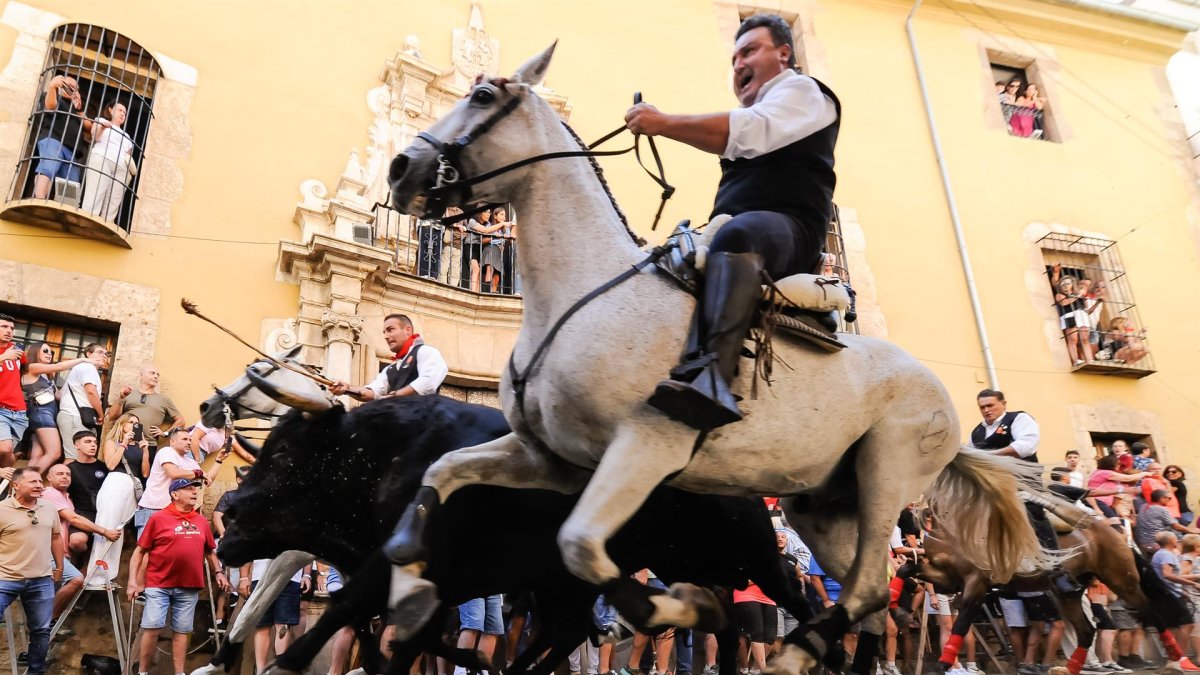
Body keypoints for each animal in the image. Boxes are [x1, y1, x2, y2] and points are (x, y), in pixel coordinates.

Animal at [217, 393, 816, 672]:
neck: (386, 453)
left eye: (285, 451)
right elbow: (392, 632)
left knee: (790, 591)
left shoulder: (395, 565)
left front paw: (288, 662)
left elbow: (350, 613)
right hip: (678, 566)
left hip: (748, 552)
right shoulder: (428, 584)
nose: (226, 515)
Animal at [386, 44, 1051, 667]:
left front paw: (679, 606)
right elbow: (444, 470)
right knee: (871, 595)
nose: (400, 168)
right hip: (824, 506)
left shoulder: (647, 447)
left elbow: (579, 547)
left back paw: (792, 652)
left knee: (861, 589)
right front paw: (409, 581)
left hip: (885, 475)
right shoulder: (553, 459)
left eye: (481, 97)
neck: (583, 293)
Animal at [916, 494, 1190, 672]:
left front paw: (943, 662)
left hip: (1122, 579)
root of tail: (1117, 536)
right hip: (1069, 594)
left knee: (1152, 612)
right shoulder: (947, 578)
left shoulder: (976, 581)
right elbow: (913, 570)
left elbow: (962, 621)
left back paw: (1180, 659)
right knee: (1086, 631)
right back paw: (1071, 668)